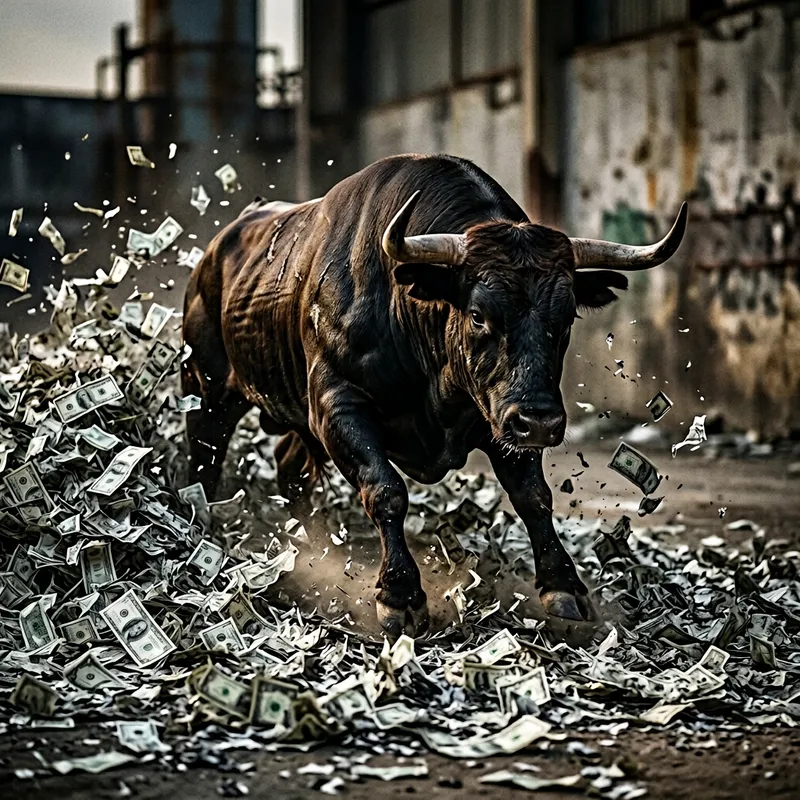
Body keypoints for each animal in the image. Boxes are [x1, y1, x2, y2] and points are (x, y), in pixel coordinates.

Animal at [182, 154, 687, 639]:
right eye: (479, 315)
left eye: (565, 319)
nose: (540, 422)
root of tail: (215, 252)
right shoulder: (336, 404)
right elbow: (385, 490)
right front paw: (400, 595)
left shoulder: (499, 416)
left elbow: (534, 496)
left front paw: (563, 586)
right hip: (206, 389)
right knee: (205, 459)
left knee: (290, 467)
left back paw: (308, 542)